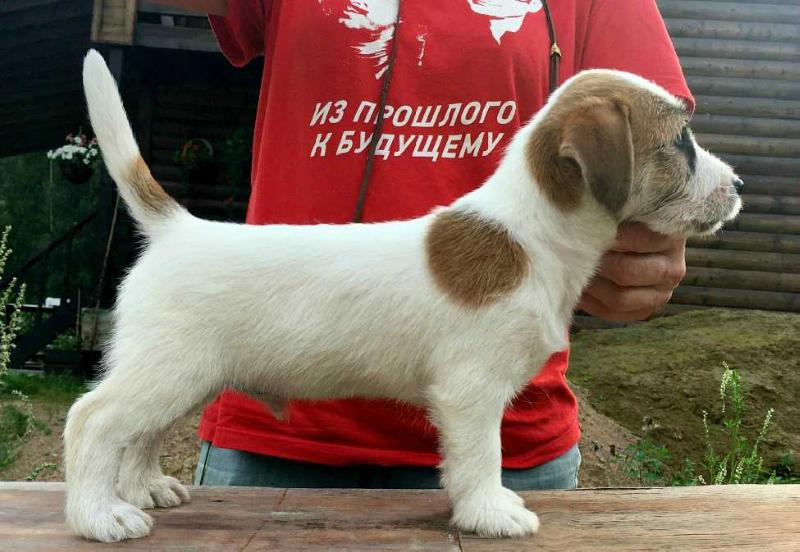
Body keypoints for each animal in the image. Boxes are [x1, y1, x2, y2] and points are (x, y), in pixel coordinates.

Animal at [64, 49, 744, 540]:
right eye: (681, 142)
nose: (738, 184)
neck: (533, 234)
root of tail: (178, 228)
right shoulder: (471, 392)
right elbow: (481, 456)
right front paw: (490, 512)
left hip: (189, 375)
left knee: (140, 434)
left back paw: (146, 488)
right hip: (170, 369)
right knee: (94, 420)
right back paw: (101, 515)